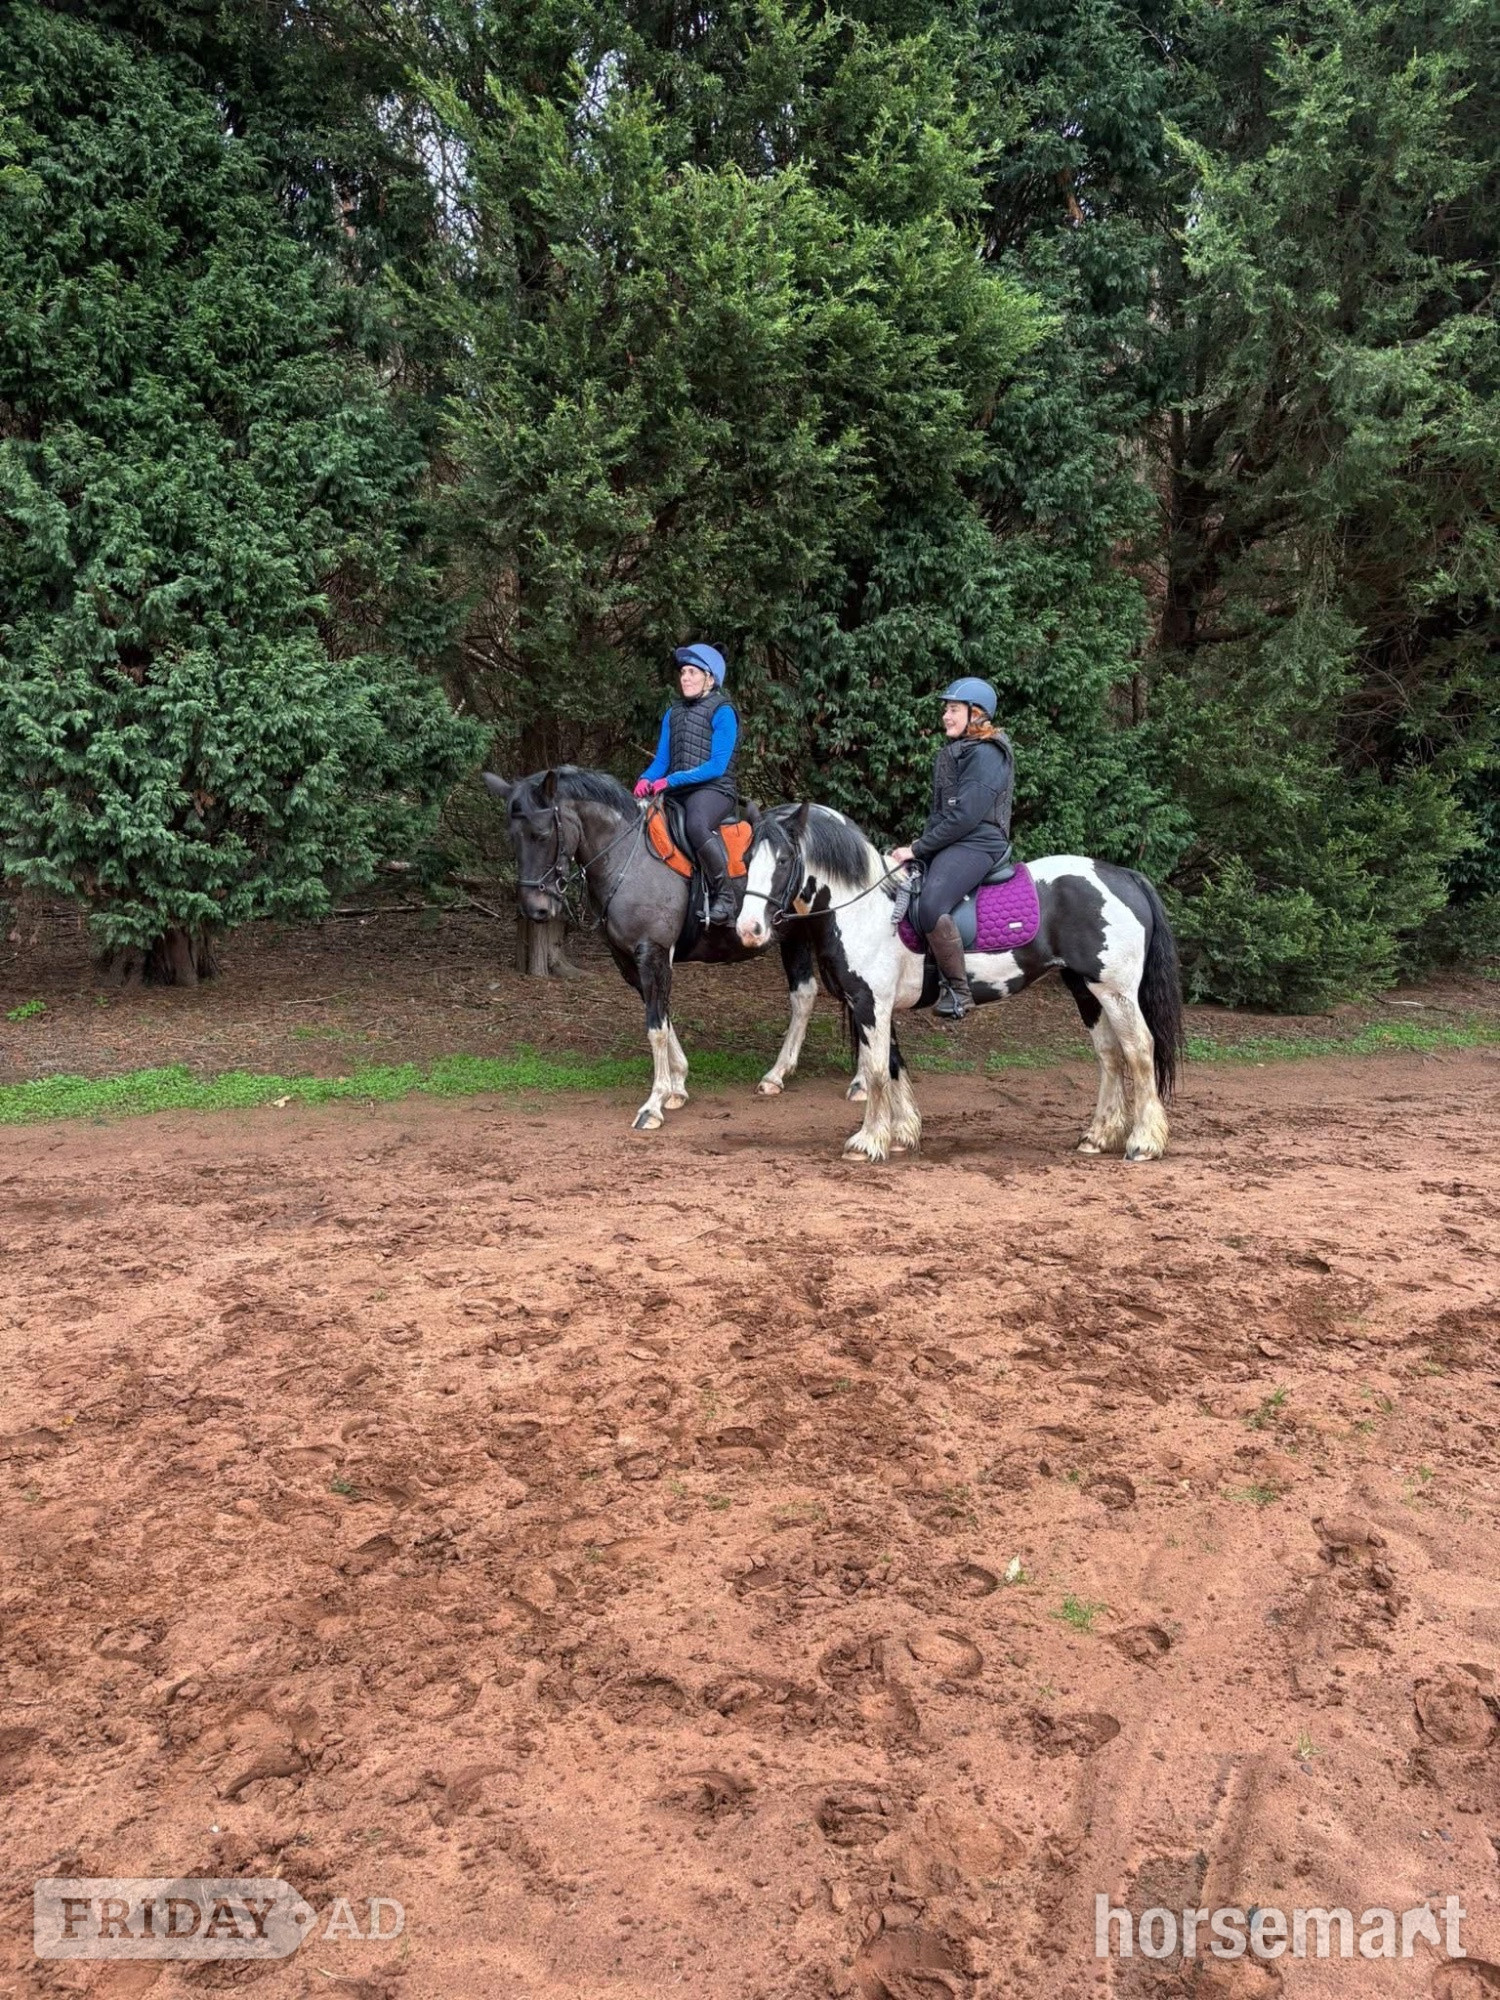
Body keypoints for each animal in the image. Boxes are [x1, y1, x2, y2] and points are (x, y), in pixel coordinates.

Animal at [482, 767, 849, 1132]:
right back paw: (777, 1075)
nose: (535, 908)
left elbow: (656, 1028)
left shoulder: (652, 952)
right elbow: (662, 1016)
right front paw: (678, 1086)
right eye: (512, 836)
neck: (629, 860)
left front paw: (654, 1104)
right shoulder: (628, 960)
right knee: (804, 994)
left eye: (542, 835)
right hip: (793, 936)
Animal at [735, 803, 1185, 1163]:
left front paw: (868, 1142)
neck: (866, 907)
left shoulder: (869, 1002)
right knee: (1109, 1055)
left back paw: (1144, 1142)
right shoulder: (878, 1005)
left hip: (1116, 991)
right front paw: (903, 1134)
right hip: (1085, 989)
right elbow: (894, 1063)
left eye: (784, 859)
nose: (748, 929)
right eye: (747, 857)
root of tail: (1124, 876)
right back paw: (1098, 1135)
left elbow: (876, 1069)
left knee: (1139, 1050)